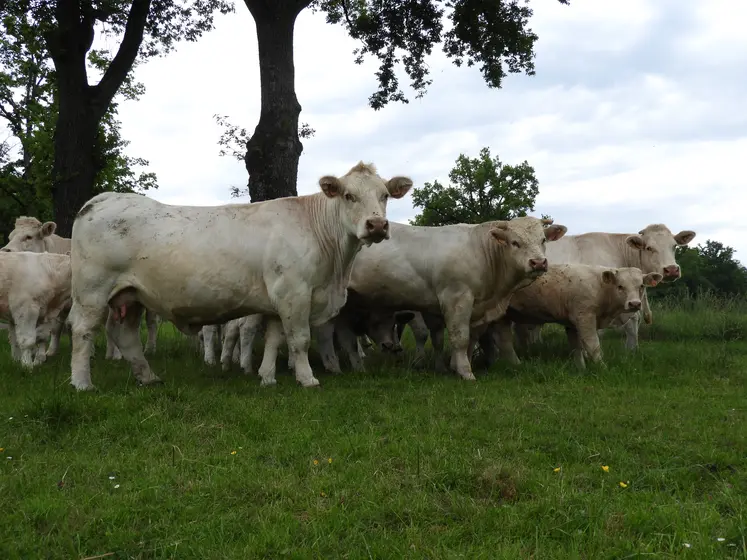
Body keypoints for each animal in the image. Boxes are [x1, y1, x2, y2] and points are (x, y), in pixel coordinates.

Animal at [66, 162, 412, 390]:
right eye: (349, 196)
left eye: (384, 195)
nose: (377, 225)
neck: (335, 271)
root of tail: (104, 198)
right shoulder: (295, 293)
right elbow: (299, 340)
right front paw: (307, 378)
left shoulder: (279, 300)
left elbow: (275, 339)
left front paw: (267, 376)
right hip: (92, 291)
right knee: (83, 332)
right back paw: (83, 383)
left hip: (132, 295)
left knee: (124, 334)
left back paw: (147, 377)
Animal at [344, 217, 568, 378]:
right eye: (515, 242)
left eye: (543, 240)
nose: (538, 262)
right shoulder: (456, 298)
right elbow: (460, 337)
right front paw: (465, 372)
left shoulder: (477, 307)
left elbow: (470, 338)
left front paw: (455, 365)